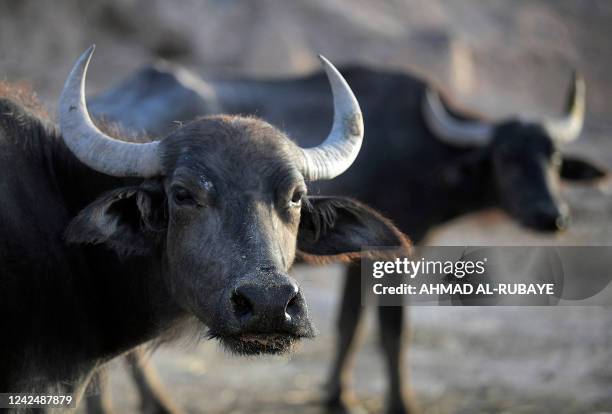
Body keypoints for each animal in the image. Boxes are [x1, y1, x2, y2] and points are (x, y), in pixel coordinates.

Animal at [92, 62, 608, 414]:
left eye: (553, 157)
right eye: (506, 157)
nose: (552, 216)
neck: (423, 148)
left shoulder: (357, 257)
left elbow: (348, 323)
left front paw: (336, 394)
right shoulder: (392, 253)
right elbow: (389, 329)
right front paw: (399, 402)